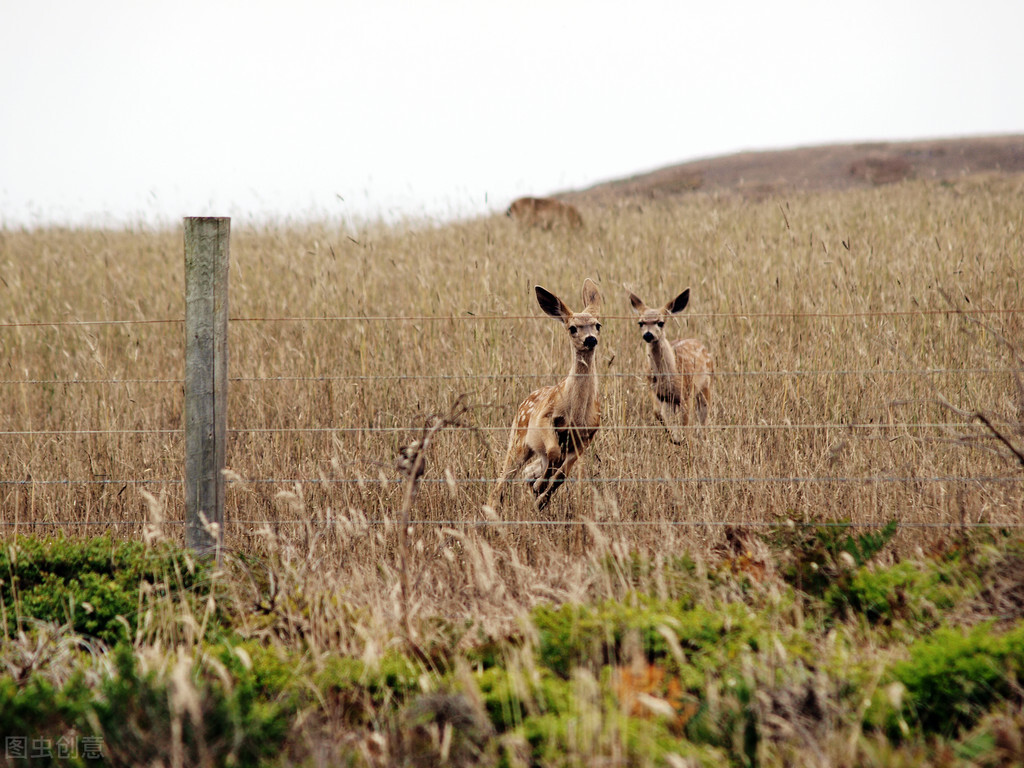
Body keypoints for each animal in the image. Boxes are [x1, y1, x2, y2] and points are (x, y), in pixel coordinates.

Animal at [487, 278, 598, 512]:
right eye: (572, 328)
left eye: (598, 325)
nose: (590, 339)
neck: (576, 412)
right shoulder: (545, 418)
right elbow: (554, 453)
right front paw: (540, 487)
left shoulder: (586, 435)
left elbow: (562, 474)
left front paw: (542, 494)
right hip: (518, 440)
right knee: (504, 478)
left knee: (530, 470)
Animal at [622, 288, 712, 444]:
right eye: (640, 323)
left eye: (661, 322)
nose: (648, 335)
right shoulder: (654, 389)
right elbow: (657, 412)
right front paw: (673, 437)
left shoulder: (685, 392)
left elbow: (686, 423)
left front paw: (684, 441)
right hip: (673, 400)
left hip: (705, 386)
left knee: (703, 418)